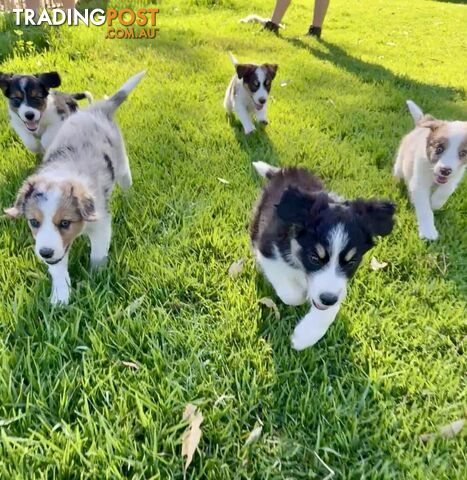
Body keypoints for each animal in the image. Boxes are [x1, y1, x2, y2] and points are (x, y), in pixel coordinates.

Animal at [4, 70, 146, 304]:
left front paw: (97, 277)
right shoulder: (55, 246)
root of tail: (97, 109)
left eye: (65, 223)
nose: (44, 253)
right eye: (33, 222)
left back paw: (130, 199)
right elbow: (58, 267)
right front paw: (60, 297)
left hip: (121, 162)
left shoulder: (101, 223)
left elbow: (98, 253)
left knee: (126, 181)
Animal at [250, 161, 396, 348]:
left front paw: (305, 335)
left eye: (351, 262)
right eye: (314, 258)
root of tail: (283, 172)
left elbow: (331, 305)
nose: (328, 299)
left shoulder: (338, 287)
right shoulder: (268, 249)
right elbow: (292, 295)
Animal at [394, 99, 467, 240]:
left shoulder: (454, 177)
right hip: (400, 164)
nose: (445, 170)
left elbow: (444, 191)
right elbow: (425, 209)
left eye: (462, 153)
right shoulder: (420, 183)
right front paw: (428, 231)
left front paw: (434, 203)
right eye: (439, 148)